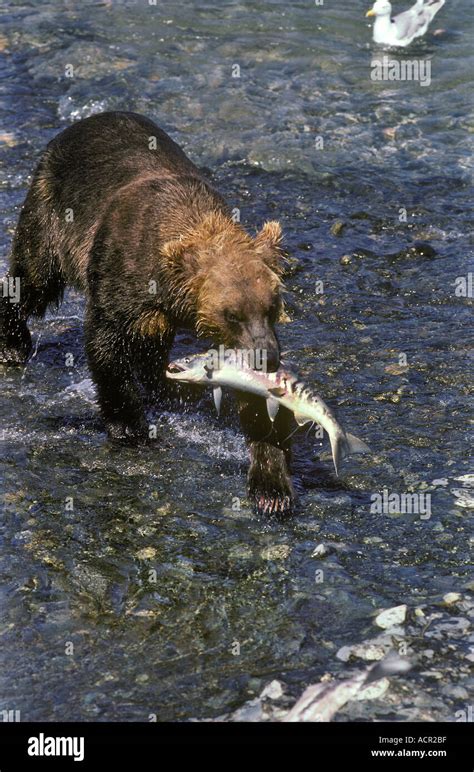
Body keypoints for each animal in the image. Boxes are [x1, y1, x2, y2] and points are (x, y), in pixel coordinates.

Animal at [0, 110, 292, 512]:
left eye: (272, 305)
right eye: (231, 313)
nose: (268, 356)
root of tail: (86, 120)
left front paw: (271, 487)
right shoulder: (120, 273)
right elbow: (106, 346)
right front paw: (133, 429)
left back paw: (166, 382)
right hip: (52, 210)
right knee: (32, 277)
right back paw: (13, 343)